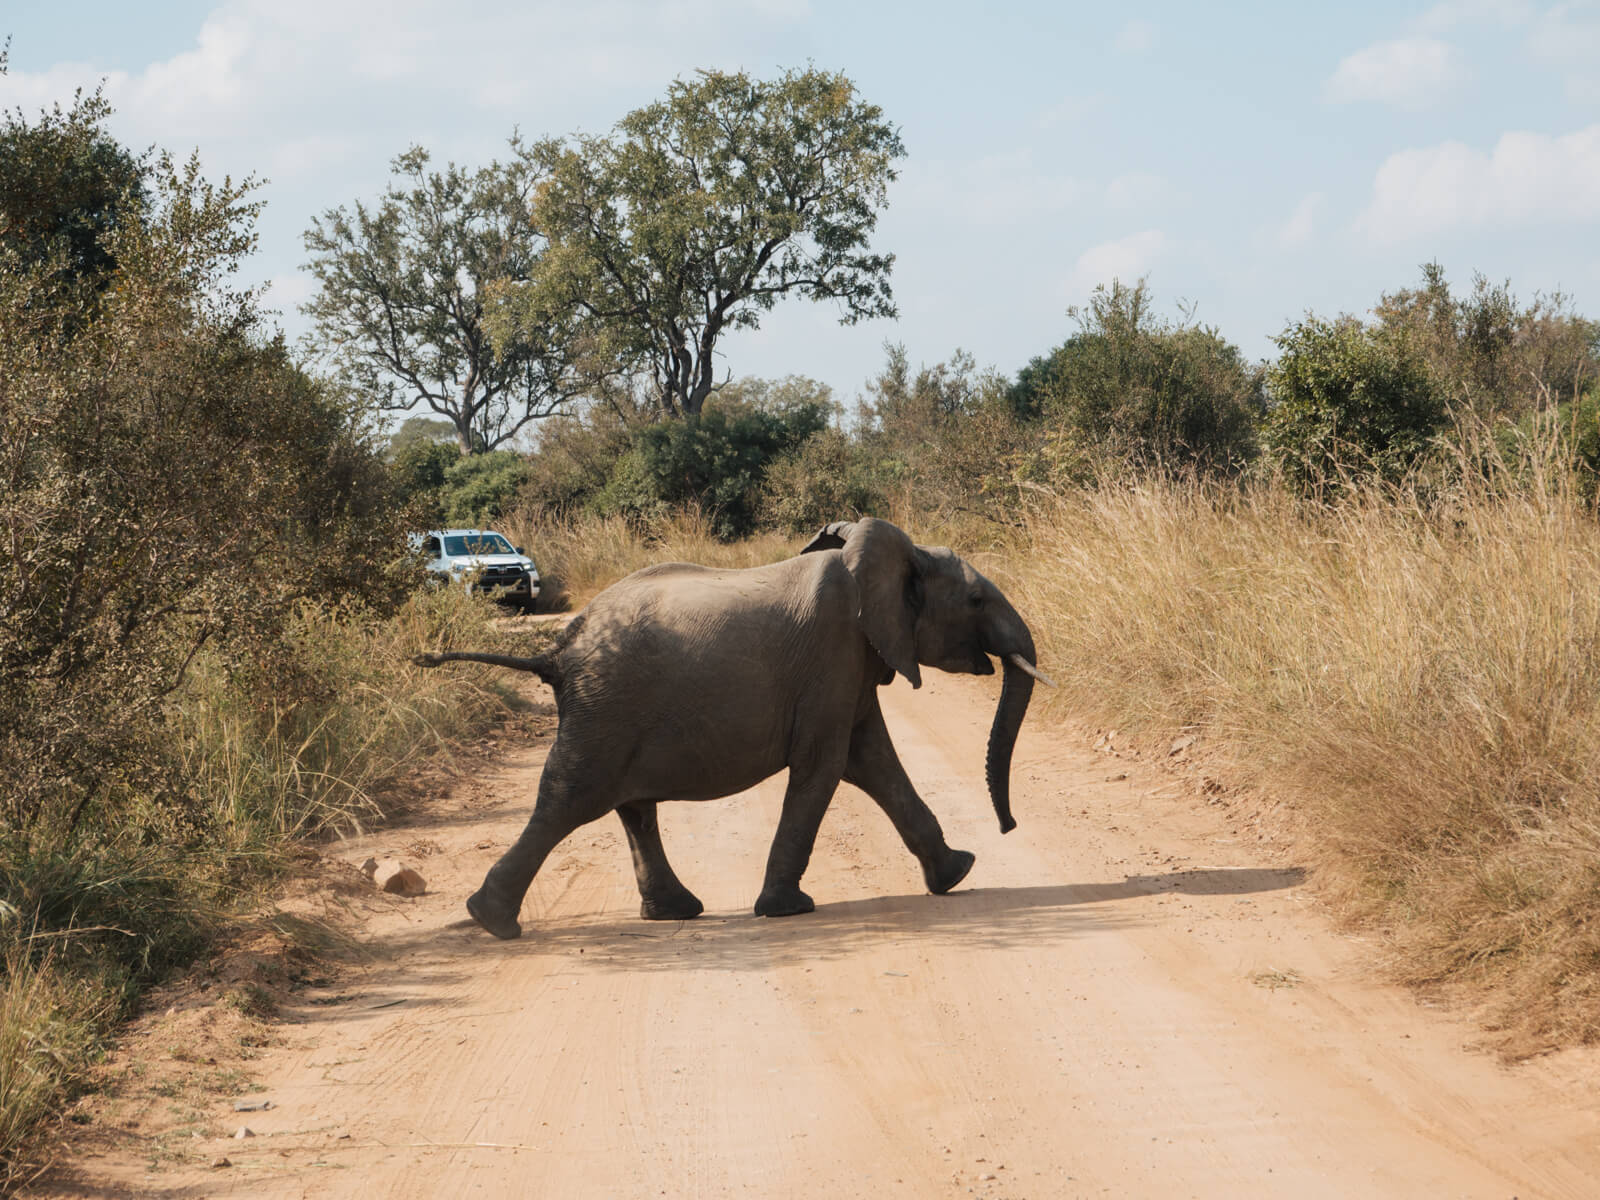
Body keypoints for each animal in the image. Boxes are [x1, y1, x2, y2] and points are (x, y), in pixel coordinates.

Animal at [415, 517, 1052, 940]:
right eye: (975, 599)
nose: (1010, 827)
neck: (891, 555)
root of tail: (558, 648)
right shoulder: (833, 656)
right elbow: (826, 766)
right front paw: (788, 909)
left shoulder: (853, 667)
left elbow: (871, 760)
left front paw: (957, 871)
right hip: (606, 710)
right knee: (569, 801)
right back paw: (493, 922)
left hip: (610, 713)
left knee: (631, 807)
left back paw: (672, 912)